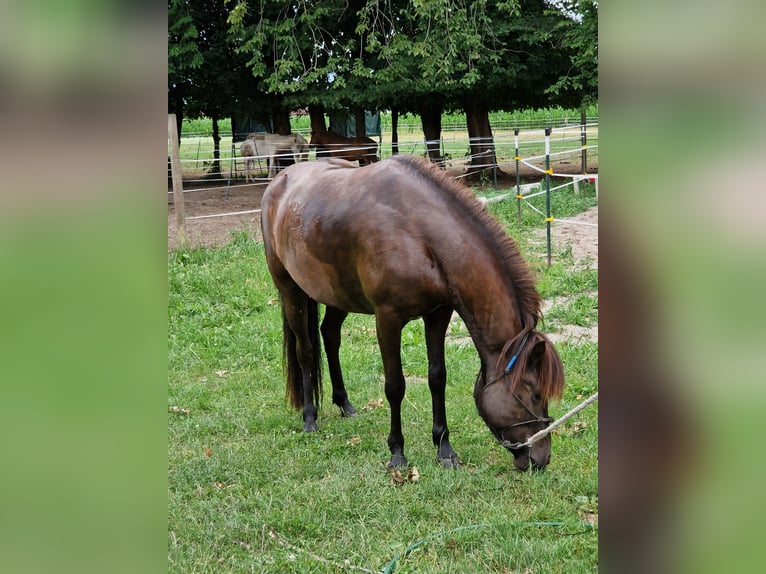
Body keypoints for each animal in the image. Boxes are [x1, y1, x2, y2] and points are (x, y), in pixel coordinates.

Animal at [260, 155, 564, 471]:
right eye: (536, 394)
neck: (420, 234)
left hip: (338, 296)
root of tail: (280, 181)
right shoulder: (388, 320)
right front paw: (397, 452)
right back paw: (310, 418)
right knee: (306, 351)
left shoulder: (438, 314)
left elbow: (437, 378)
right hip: (291, 291)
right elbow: (395, 385)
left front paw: (444, 448)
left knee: (330, 336)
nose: (541, 458)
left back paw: (344, 404)